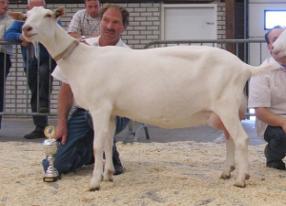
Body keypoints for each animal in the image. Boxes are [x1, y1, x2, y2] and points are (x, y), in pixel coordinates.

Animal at [14, 7, 278, 191]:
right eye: (26, 15)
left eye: (48, 15)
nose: (26, 29)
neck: (83, 60)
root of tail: (243, 66)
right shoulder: (111, 110)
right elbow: (108, 141)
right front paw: (109, 174)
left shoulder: (99, 107)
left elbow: (97, 144)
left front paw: (94, 183)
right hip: (224, 111)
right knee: (229, 139)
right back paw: (227, 172)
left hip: (226, 106)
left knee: (241, 139)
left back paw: (240, 180)